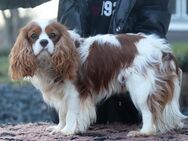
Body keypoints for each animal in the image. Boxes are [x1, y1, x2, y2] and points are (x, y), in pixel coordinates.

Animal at [9, 19, 187, 137]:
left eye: (52, 35)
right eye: (34, 36)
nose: (44, 42)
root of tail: (163, 49)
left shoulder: (75, 93)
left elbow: (71, 113)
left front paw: (68, 131)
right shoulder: (62, 94)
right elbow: (62, 113)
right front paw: (59, 128)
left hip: (141, 87)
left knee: (149, 111)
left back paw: (144, 132)